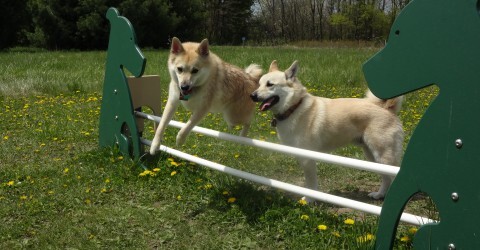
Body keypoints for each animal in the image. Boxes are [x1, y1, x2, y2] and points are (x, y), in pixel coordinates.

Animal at [251, 60, 404, 201]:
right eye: (259, 83)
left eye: (270, 84)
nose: (252, 95)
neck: (294, 107)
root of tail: (386, 108)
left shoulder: (307, 159)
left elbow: (310, 183)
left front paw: (309, 200)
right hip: (373, 156)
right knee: (386, 178)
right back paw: (379, 195)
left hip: (382, 155)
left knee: (391, 176)